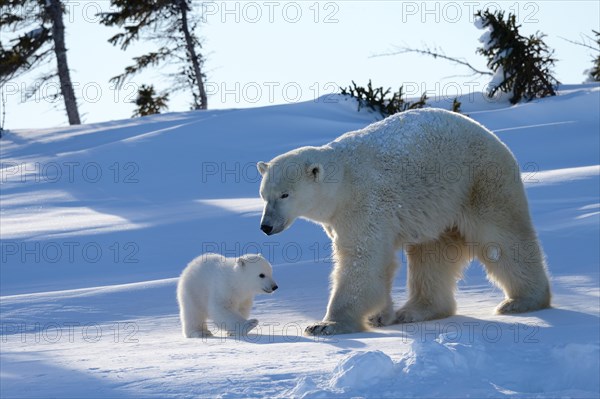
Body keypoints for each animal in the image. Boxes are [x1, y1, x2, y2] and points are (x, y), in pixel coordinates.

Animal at [255, 108, 552, 336]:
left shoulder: (364, 204)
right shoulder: (340, 219)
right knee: (432, 256)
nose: (266, 227)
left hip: (479, 183)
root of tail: (495, 139)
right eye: (263, 195)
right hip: (440, 210)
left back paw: (522, 301)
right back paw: (414, 311)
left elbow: (362, 260)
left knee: (501, 239)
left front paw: (326, 325)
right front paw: (379, 315)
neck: (344, 181)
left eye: (284, 194)